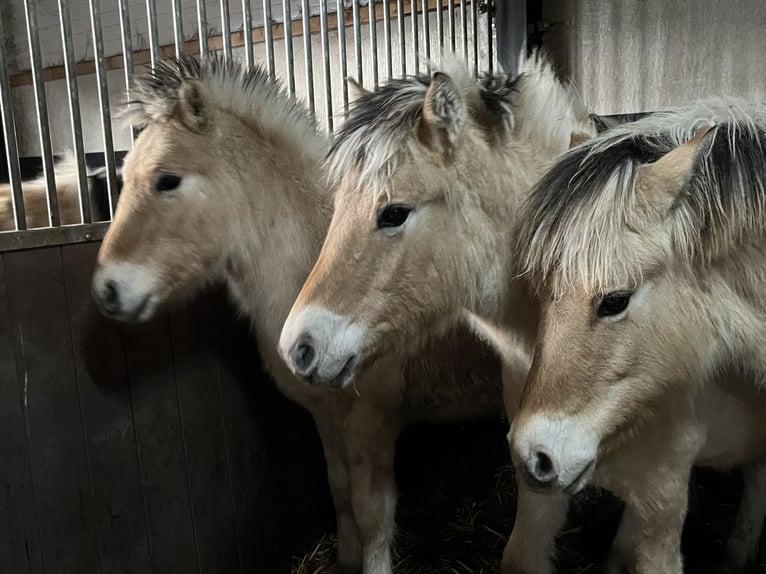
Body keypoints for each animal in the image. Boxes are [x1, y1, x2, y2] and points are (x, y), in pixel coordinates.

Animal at [90, 54, 519, 574]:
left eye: (167, 179)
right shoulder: (326, 416)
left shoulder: (370, 418)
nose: (108, 290)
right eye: (123, 177)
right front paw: (345, 560)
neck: (312, 258)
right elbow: (339, 492)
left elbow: (373, 511)